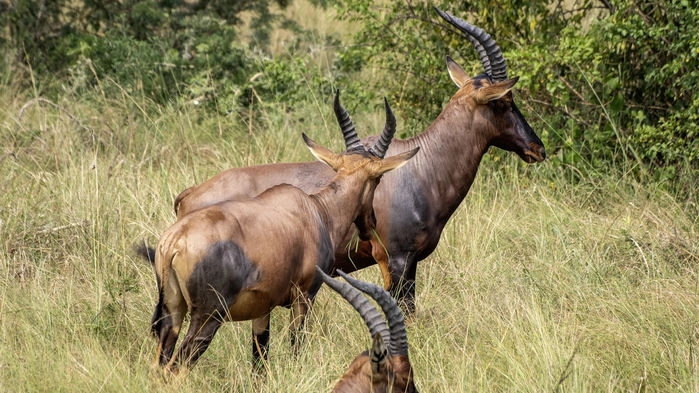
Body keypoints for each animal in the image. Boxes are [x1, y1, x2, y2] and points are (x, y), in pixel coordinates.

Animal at [149, 93, 422, 372]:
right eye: (377, 180)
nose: (371, 224)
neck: (315, 209)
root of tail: (174, 242)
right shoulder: (305, 296)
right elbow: (296, 344)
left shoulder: (262, 307)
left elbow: (260, 357)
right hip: (208, 317)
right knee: (177, 365)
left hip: (173, 312)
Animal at [153, 6, 548, 316]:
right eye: (503, 101)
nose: (537, 148)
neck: (420, 166)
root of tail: (187, 196)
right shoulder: (396, 261)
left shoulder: (409, 264)